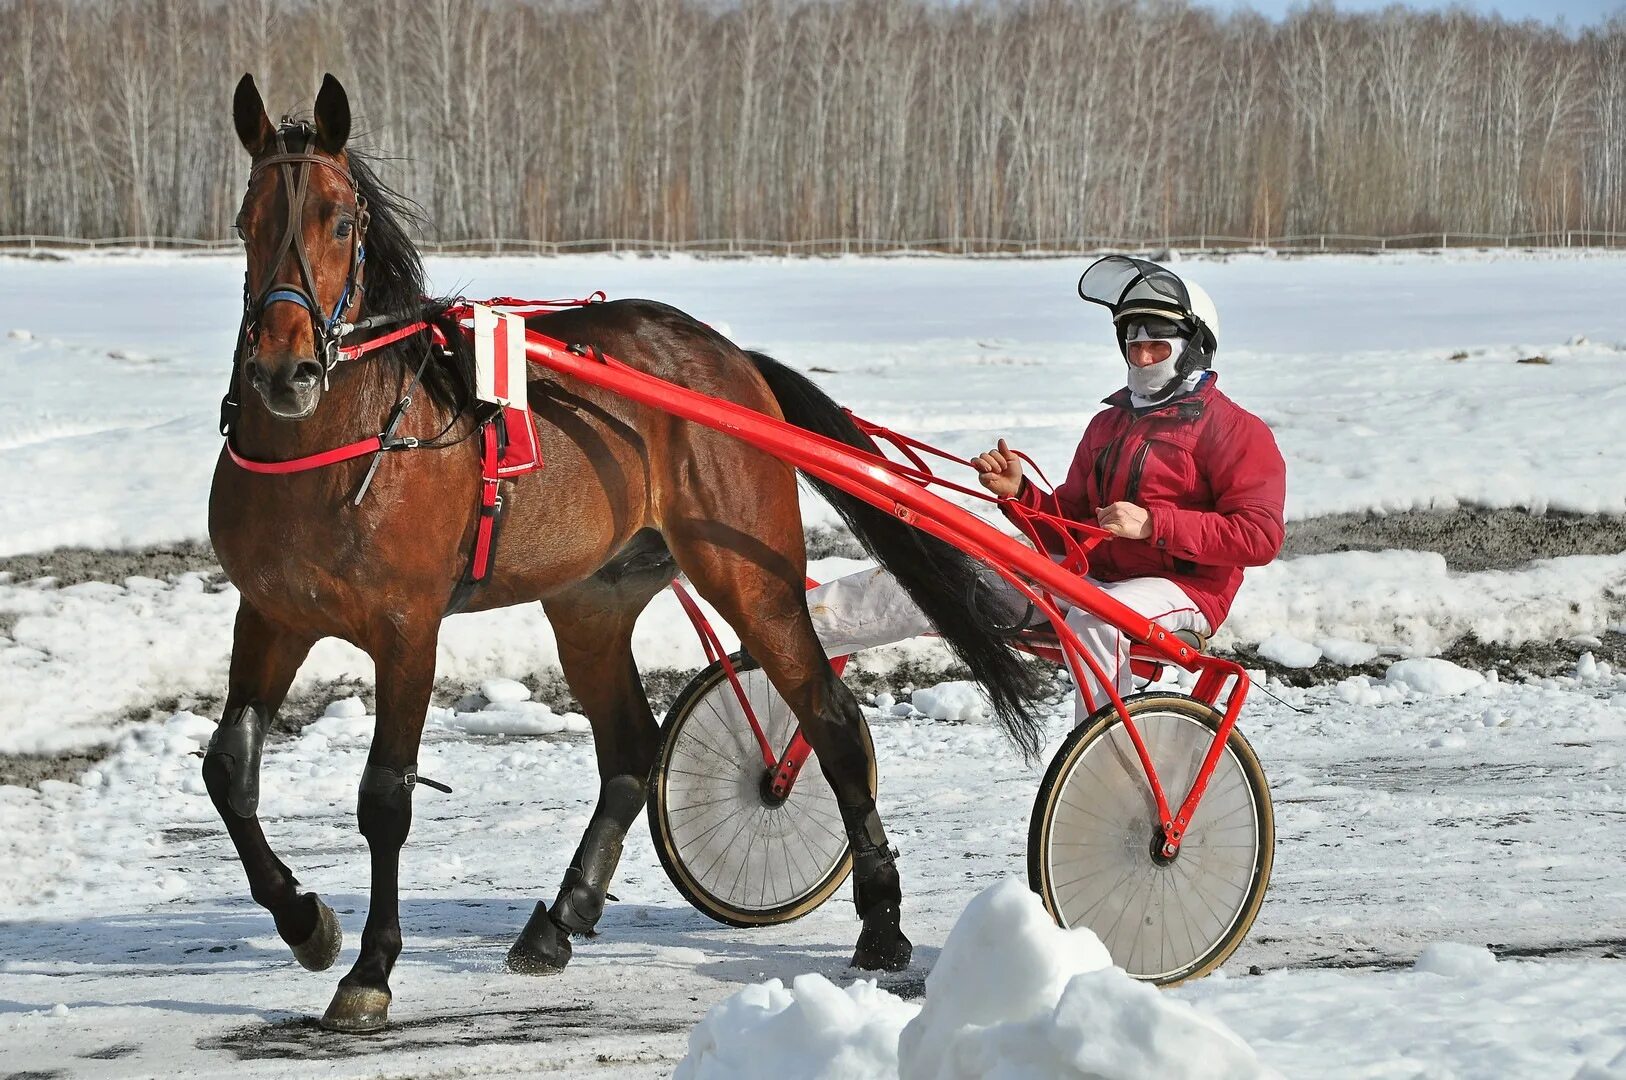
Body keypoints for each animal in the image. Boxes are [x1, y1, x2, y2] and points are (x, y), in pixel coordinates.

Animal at [206, 71, 1040, 1034]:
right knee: (634, 752)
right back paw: (559, 919)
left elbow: (386, 797)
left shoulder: (407, 627)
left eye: (341, 219)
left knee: (830, 718)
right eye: (247, 218)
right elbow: (228, 771)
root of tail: (729, 358)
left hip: (749, 570)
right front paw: (307, 922)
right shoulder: (272, 613)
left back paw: (881, 923)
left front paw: (370, 968)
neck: (344, 445)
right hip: (591, 599)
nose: (286, 370)